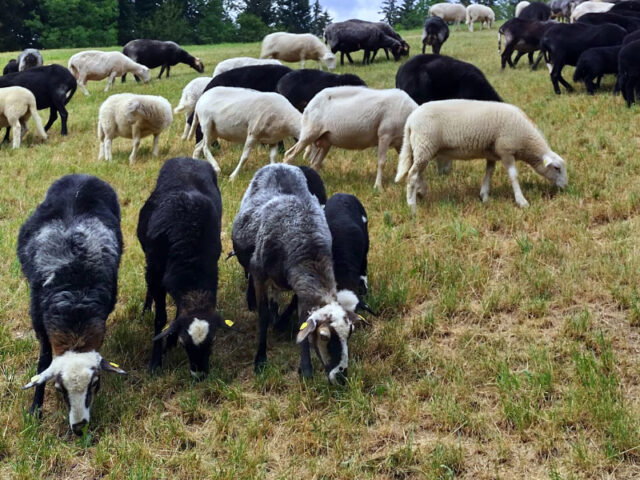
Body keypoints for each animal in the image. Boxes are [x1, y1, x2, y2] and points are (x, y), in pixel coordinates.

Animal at [18, 174, 126, 435]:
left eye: (95, 384)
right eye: (59, 389)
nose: (79, 427)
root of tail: (82, 176)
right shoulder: (39, 322)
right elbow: (43, 361)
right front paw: (35, 410)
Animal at [137, 157, 223, 378]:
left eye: (212, 342)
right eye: (186, 344)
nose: (200, 376)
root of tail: (189, 159)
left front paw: (170, 341)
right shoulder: (156, 272)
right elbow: (160, 319)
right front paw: (155, 362)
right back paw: (145, 308)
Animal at [231, 164, 360, 384]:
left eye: (349, 334)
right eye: (324, 336)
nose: (342, 377)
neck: (308, 253)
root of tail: (280, 164)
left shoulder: (300, 287)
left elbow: (301, 320)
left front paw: (305, 368)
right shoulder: (260, 273)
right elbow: (263, 315)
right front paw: (260, 360)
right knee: (249, 274)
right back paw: (252, 301)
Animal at [283, 86, 417, 190]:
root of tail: (310, 104)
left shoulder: (400, 143)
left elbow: (408, 162)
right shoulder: (385, 135)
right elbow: (381, 162)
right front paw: (378, 187)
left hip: (325, 141)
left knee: (315, 164)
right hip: (309, 133)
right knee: (289, 155)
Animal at [394, 100, 568, 212]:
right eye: (557, 168)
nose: (566, 187)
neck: (526, 141)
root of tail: (410, 120)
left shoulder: (492, 154)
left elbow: (488, 173)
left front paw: (484, 196)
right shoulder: (506, 150)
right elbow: (513, 176)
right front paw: (522, 201)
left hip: (421, 148)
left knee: (417, 172)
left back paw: (420, 192)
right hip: (424, 145)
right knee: (412, 174)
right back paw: (412, 206)